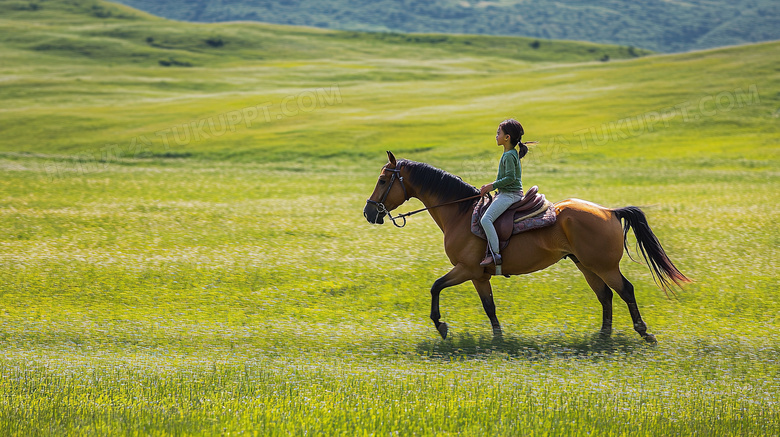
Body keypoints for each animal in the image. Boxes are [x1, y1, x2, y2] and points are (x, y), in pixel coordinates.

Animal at [362, 152, 692, 342]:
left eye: (383, 180)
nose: (369, 212)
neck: (460, 212)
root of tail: (609, 211)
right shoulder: (478, 276)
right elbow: (489, 306)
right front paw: (498, 338)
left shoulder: (468, 270)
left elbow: (436, 287)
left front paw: (441, 325)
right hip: (586, 265)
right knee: (606, 296)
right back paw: (602, 337)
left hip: (603, 265)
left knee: (625, 290)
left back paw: (643, 332)